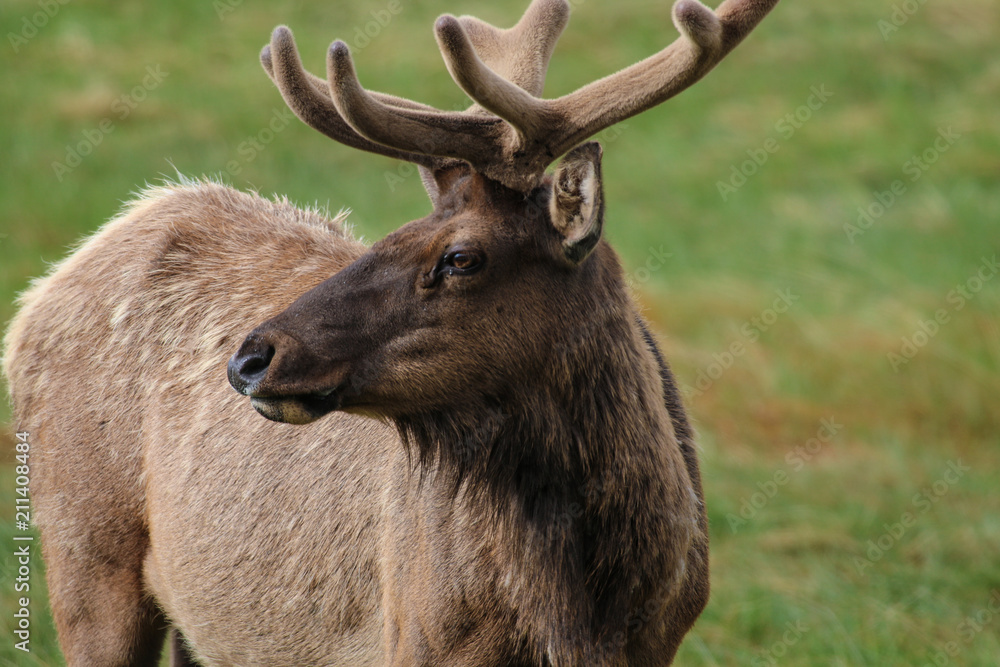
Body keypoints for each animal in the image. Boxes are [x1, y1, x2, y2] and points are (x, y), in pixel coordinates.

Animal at [2, 0, 778, 664]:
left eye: (460, 256)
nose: (250, 358)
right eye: (394, 233)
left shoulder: (661, 640)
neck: (580, 610)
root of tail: (39, 295)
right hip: (85, 552)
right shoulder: (419, 637)